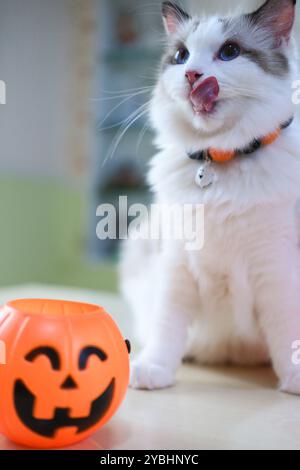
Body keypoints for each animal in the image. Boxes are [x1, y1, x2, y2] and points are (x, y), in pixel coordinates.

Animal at [119, 0, 300, 394]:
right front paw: (154, 370)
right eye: (181, 56)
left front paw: (293, 377)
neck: (218, 163)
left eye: (229, 52)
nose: (192, 75)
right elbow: (166, 328)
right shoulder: (176, 266)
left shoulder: (276, 270)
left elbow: (286, 331)